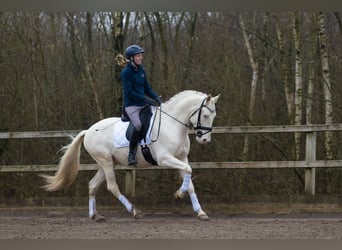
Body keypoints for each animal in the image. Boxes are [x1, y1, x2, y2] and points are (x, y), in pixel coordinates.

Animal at [40, 90, 219, 221]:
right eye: (205, 115)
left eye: (213, 116)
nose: (204, 140)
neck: (172, 124)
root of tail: (88, 131)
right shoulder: (165, 159)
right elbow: (188, 171)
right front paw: (178, 194)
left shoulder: (182, 158)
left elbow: (190, 181)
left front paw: (200, 212)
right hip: (106, 162)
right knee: (112, 187)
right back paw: (134, 211)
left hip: (106, 163)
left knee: (93, 185)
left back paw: (94, 215)